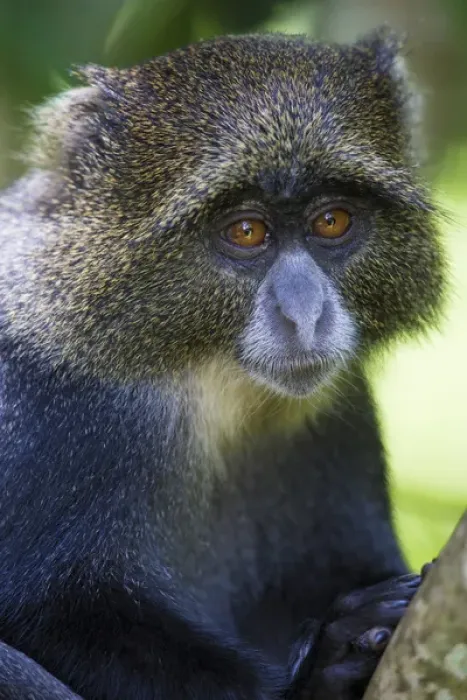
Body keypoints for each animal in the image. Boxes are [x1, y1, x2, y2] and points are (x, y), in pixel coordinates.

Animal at [0, 28, 445, 700]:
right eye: (246, 232)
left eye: (331, 221)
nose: (304, 315)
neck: (205, 383)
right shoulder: (44, 402)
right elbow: (44, 608)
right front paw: (323, 668)